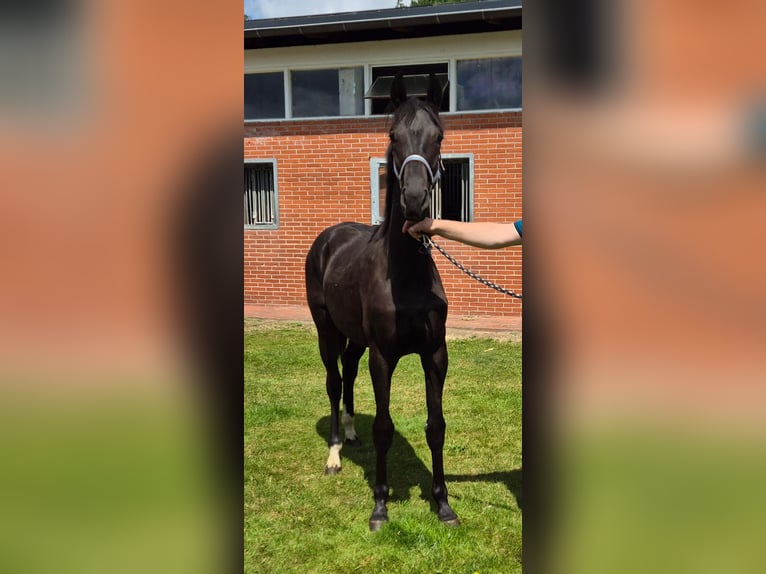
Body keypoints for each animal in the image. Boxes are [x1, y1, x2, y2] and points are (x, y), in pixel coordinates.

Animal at [306, 74, 462, 532]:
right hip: (327, 330)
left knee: (349, 372)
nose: (414, 201)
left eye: (438, 135)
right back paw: (335, 454)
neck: (405, 276)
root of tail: (329, 238)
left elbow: (436, 425)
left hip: (354, 339)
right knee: (334, 381)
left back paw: (349, 434)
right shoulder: (383, 356)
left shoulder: (435, 354)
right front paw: (380, 505)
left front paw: (443, 504)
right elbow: (383, 427)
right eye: (393, 135)